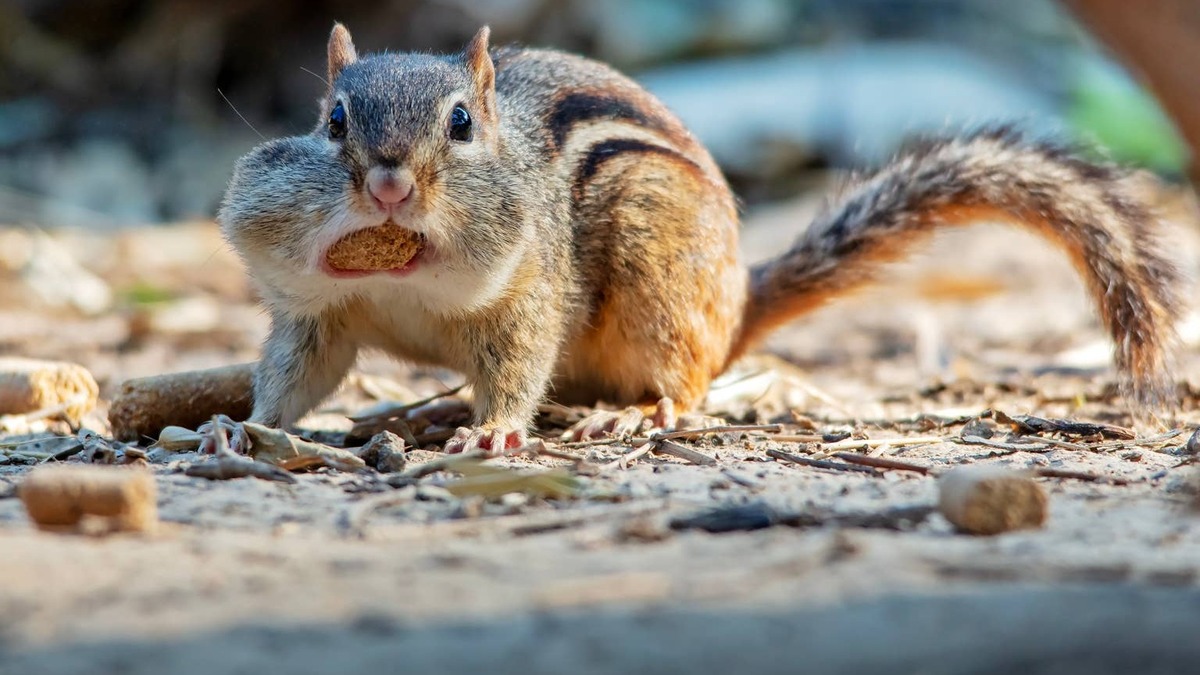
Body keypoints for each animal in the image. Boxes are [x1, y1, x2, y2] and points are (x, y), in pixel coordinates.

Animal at [219, 23, 1182, 453]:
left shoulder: (528, 294)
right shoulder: (320, 317)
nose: (387, 181)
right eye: (334, 120)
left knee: (685, 376)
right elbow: (297, 375)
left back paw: (644, 410)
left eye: (459, 124)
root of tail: (739, 302)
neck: (402, 279)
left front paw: (493, 431)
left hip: (659, 269)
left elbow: (519, 364)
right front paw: (240, 426)